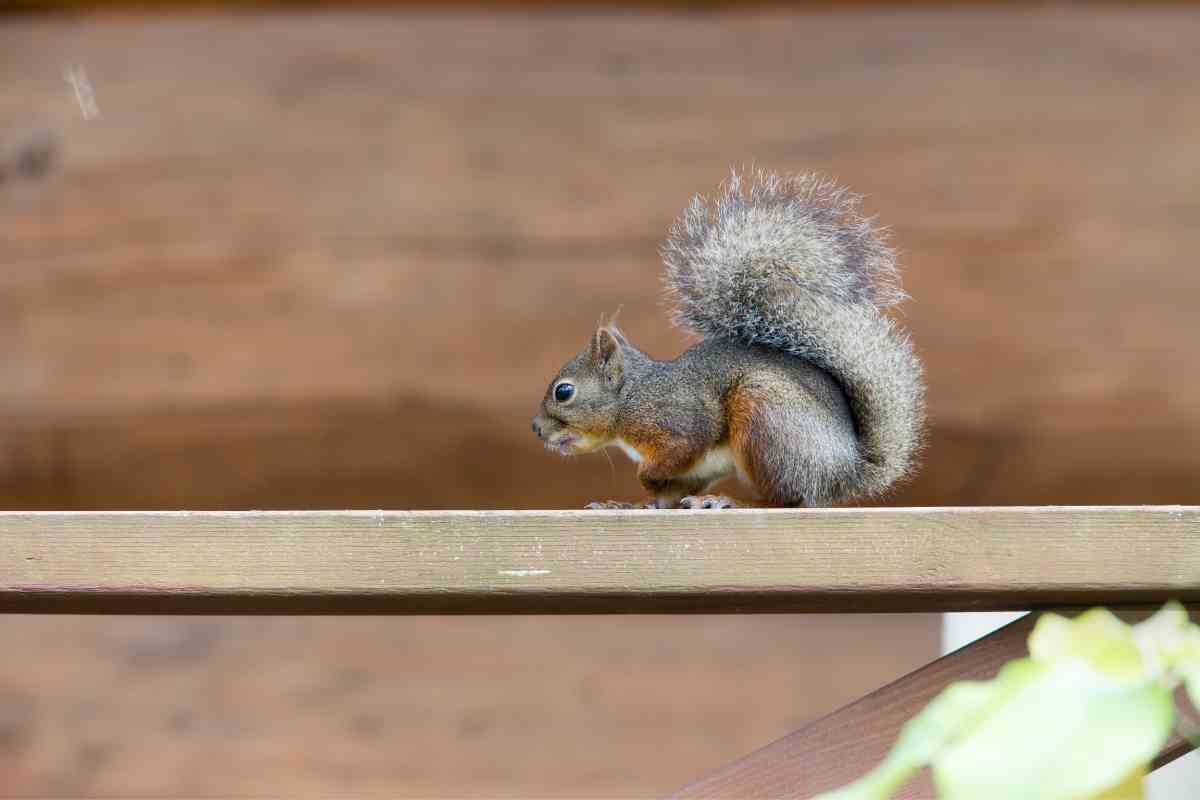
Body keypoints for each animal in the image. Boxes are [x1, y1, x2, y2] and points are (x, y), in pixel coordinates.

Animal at [531, 170, 925, 509]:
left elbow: (682, 446)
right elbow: (665, 498)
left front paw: (645, 477)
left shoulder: (680, 419)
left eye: (564, 392)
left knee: (790, 499)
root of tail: (844, 470)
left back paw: (731, 501)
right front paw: (625, 504)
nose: (535, 428)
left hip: (768, 419)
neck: (632, 397)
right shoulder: (690, 472)